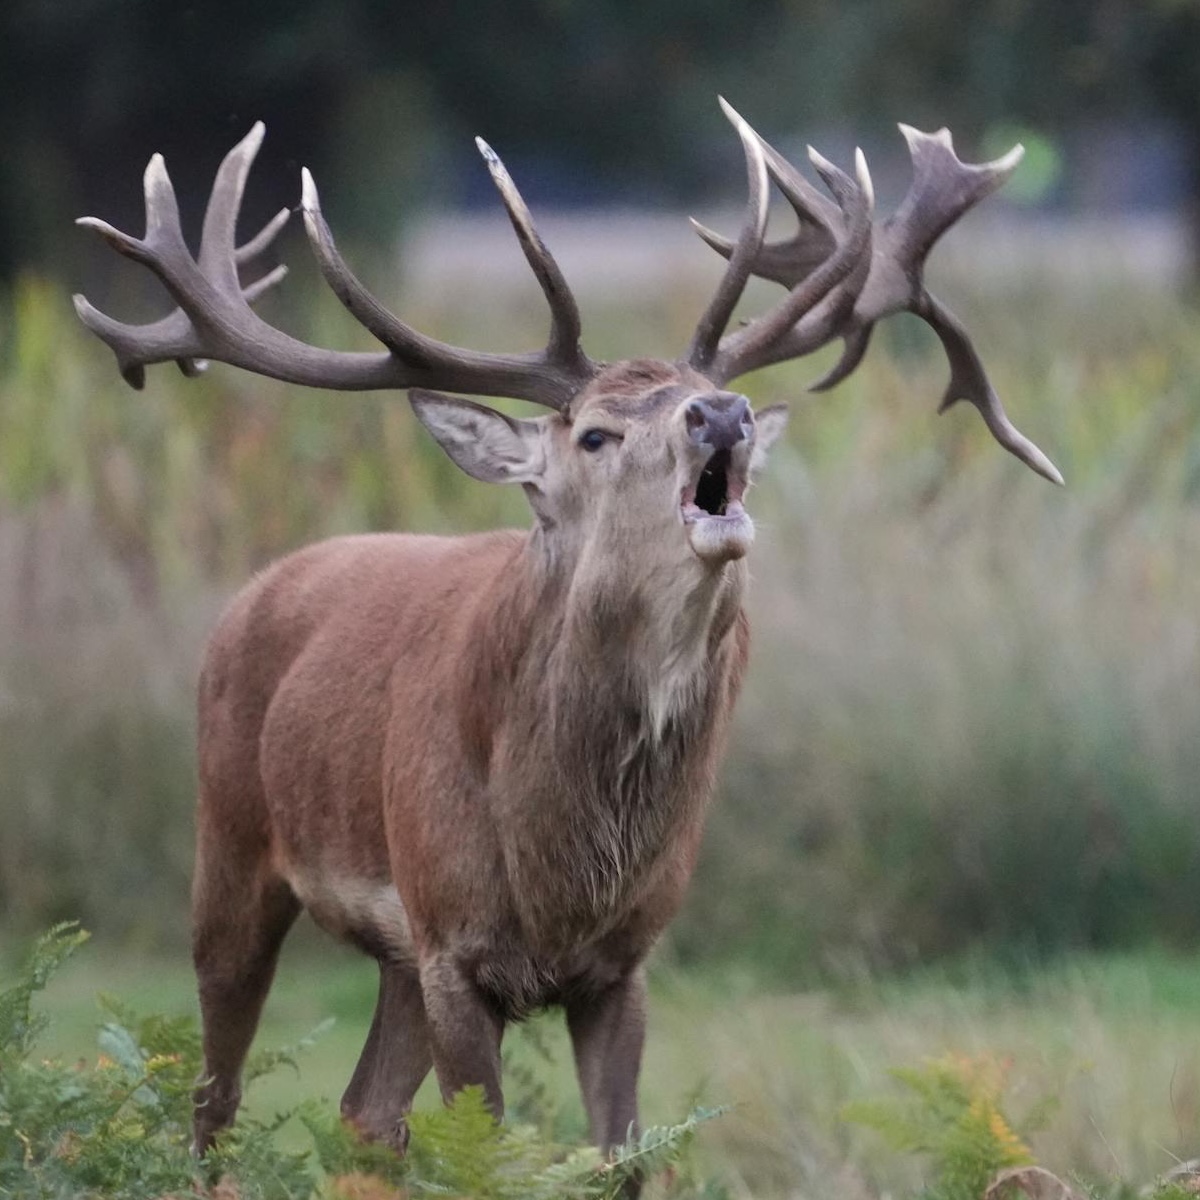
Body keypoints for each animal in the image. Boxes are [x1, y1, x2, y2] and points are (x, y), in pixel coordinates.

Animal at [74, 100, 1061, 1168]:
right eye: (593, 432)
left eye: (706, 398)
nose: (723, 412)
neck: (564, 868)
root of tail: (258, 587)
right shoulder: (455, 941)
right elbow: (488, 1159)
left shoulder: (621, 960)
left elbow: (620, 1155)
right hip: (231, 839)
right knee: (213, 1097)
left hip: (394, 951)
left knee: (364, 1112)